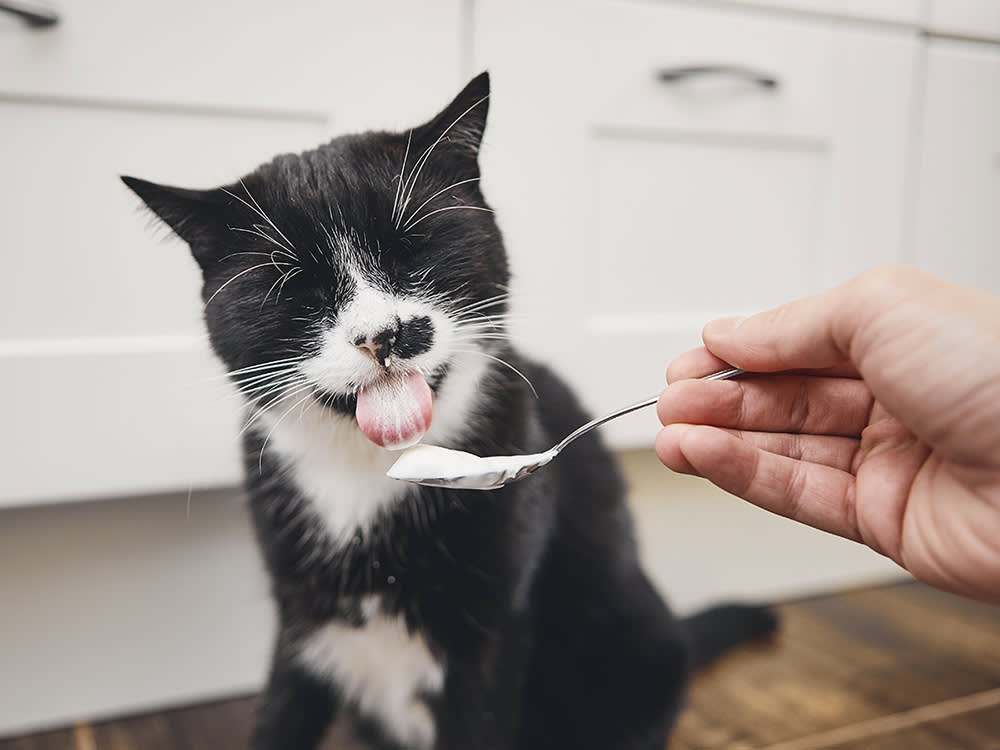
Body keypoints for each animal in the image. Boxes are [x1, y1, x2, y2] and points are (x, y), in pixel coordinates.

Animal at [125, 72, 776, 750]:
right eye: (297, 288)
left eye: (414, 250)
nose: (383, 333)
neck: (373, 471)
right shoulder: (300, 619)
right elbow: (281, 715)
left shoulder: (491, 636)